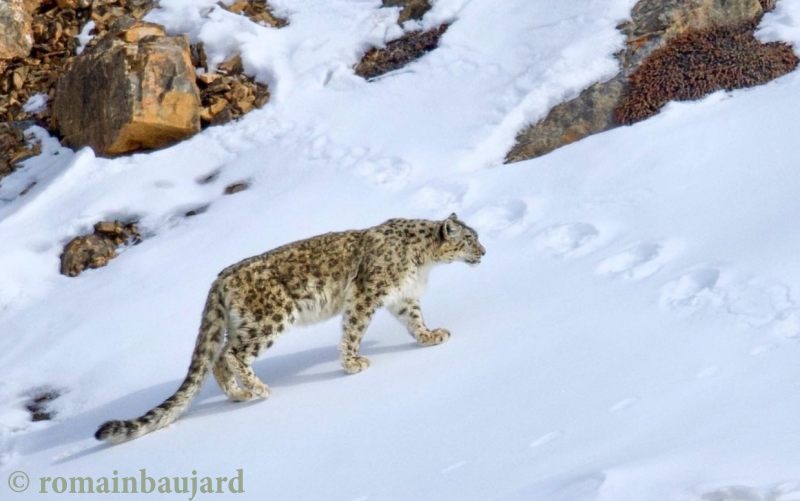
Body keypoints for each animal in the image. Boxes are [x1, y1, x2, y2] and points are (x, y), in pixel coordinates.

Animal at [95, 213, 485, 444]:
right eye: (469, 239)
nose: (484, 251)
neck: (424, 261)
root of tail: (219, 279)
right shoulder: (366, 294)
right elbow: (354, 329)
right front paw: (353, 363)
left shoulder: (403, 298)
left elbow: (415, 320)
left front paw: (431, 336)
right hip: (271, 317)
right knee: (233, 354)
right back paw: (259, 390)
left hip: (242, 323)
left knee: (218, 357)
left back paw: (238, 395)